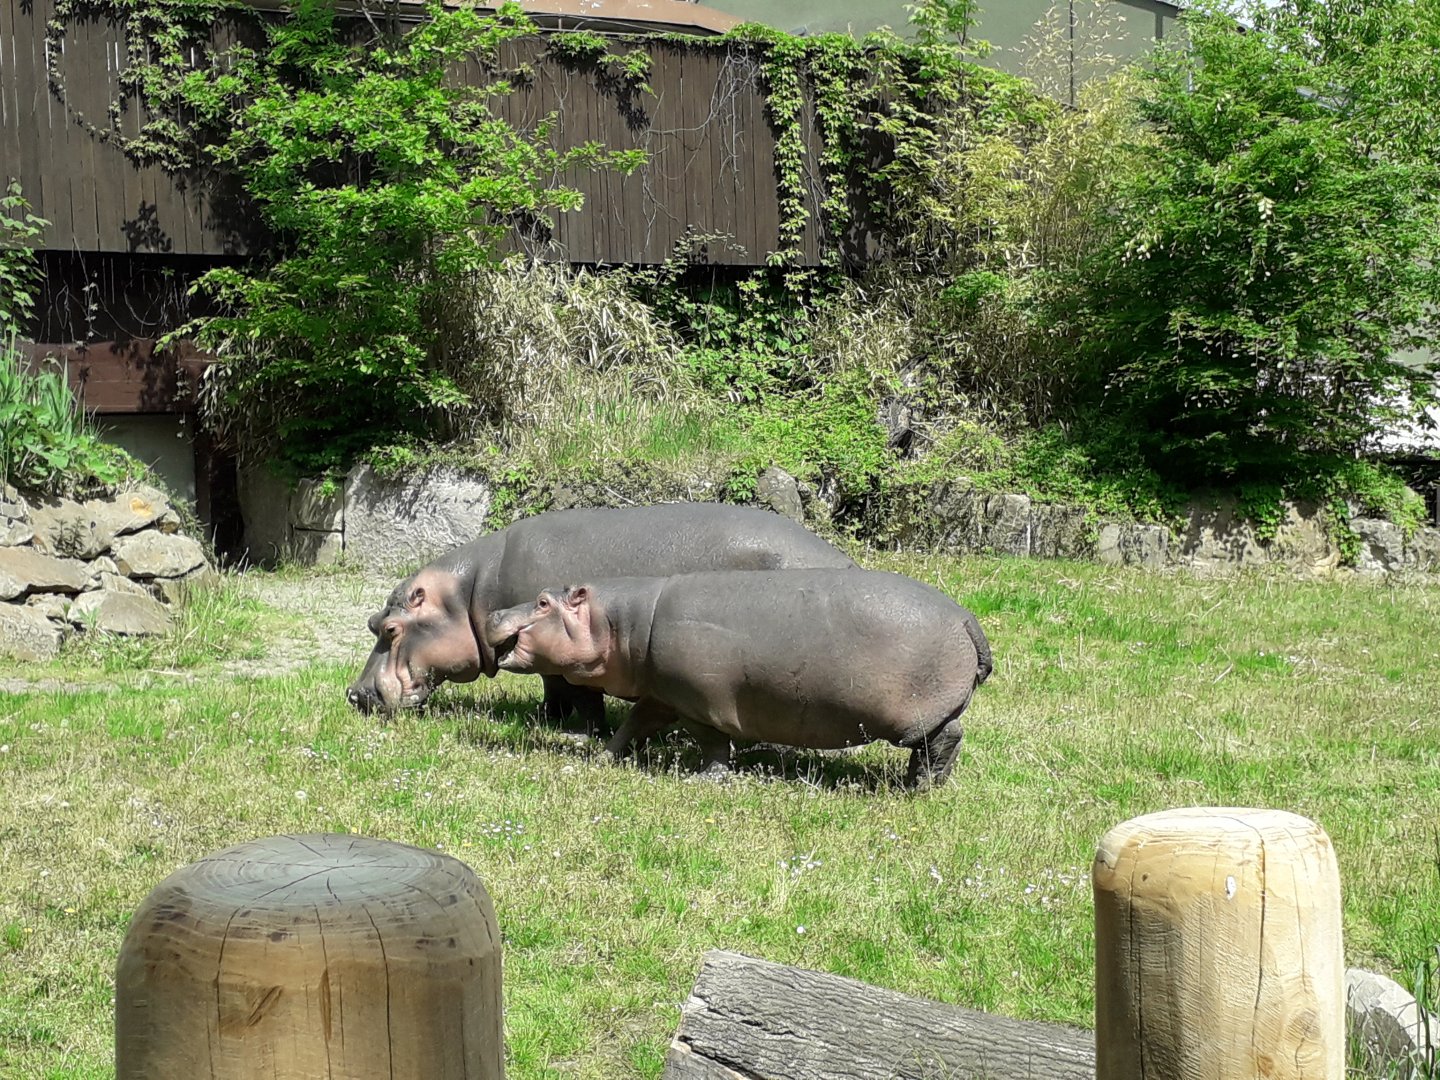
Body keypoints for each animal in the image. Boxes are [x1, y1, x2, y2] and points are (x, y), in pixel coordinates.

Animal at [346, 504, 855, 725]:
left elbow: (578, 692)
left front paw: (583, 730)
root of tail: (842, 560)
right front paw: (548, 719)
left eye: (390, 628)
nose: (354, 694)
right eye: (371, 622)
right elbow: (551, 689)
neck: (465, 594)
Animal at [484, 569, 993, 789]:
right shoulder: (662, 693)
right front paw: (604, 757)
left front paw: (706, 780)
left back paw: (920, 789)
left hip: (916, 715)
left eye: (543, 601)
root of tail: (966, 617)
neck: (622, 623)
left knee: (945, 737)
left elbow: (712, 742)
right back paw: (918, 784)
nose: (490, 613)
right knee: (941, 741)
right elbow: (633, 725)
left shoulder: (698, 701)